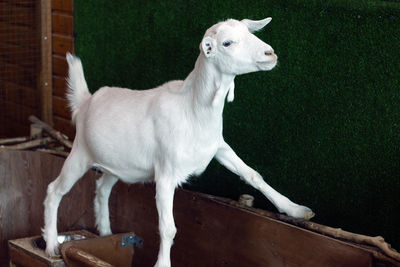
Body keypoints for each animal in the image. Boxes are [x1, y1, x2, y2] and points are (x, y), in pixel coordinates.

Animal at [42, 17, 314, 266]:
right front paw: (162, 263)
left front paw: (297, 210)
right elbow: (168, 227)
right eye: (226, 43)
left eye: (249, 32)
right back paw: (51, 245)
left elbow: (252, 175)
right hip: (79, 155)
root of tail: (86, 101)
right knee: (54, 190)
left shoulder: (218, 147)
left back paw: (107, 233)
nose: (270, 53)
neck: (192, 108)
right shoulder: (166, 174)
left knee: (102, 188)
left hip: (117, 164)